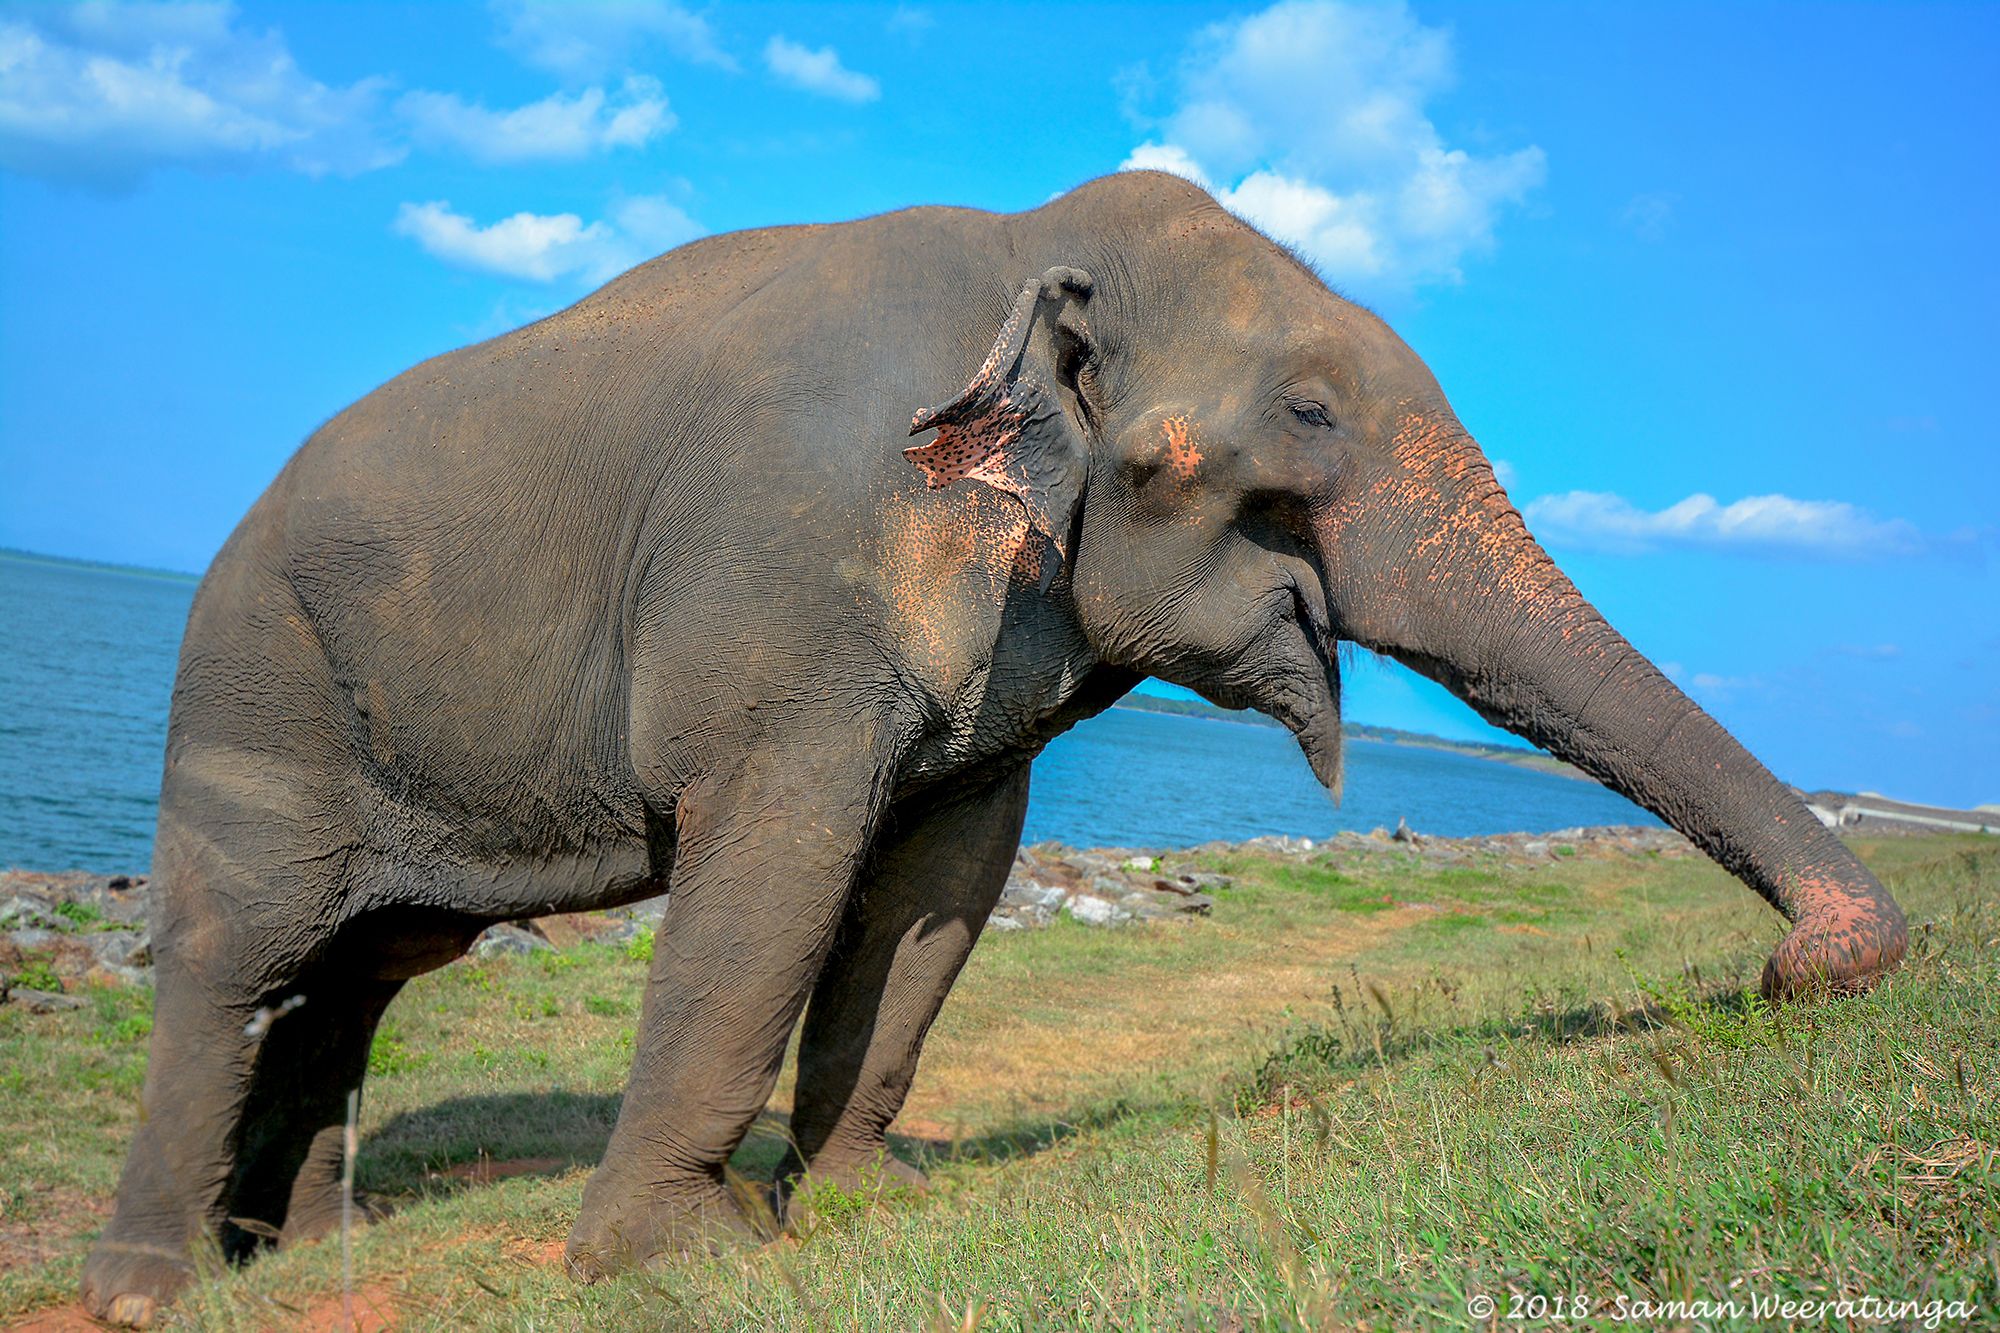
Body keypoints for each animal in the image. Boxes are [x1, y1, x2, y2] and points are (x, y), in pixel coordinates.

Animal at [80, 170, 1908, 1323]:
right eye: (1310, 415)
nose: (1812, 965)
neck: (1036, 240)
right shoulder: (787, 587)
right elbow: (776, 872)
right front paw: (681, 1260)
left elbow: (940, 885)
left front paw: (867, 1198)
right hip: (255, 689)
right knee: (238, 950)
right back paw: (150, 1288)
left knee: (365, 969)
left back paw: (298, 1256)